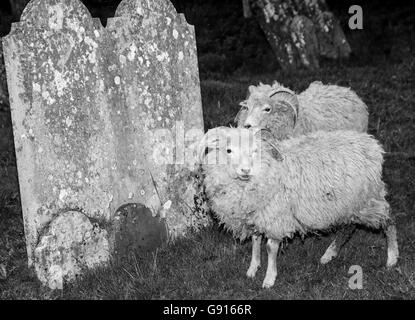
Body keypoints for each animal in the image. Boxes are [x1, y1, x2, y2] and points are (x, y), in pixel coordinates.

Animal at [200, 128, 402, 290]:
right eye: (228, 150)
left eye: (255, 151)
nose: (245, 170)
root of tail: (371, 144)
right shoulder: (256, 215)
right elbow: (255, 241)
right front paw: (252, 268)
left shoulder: (276, 216)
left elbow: (270, 248)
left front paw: (269, 279)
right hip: (348, 204)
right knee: (348, 227)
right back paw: (329, 254)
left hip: (366, 200)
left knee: (389, 220)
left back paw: (392, 258)